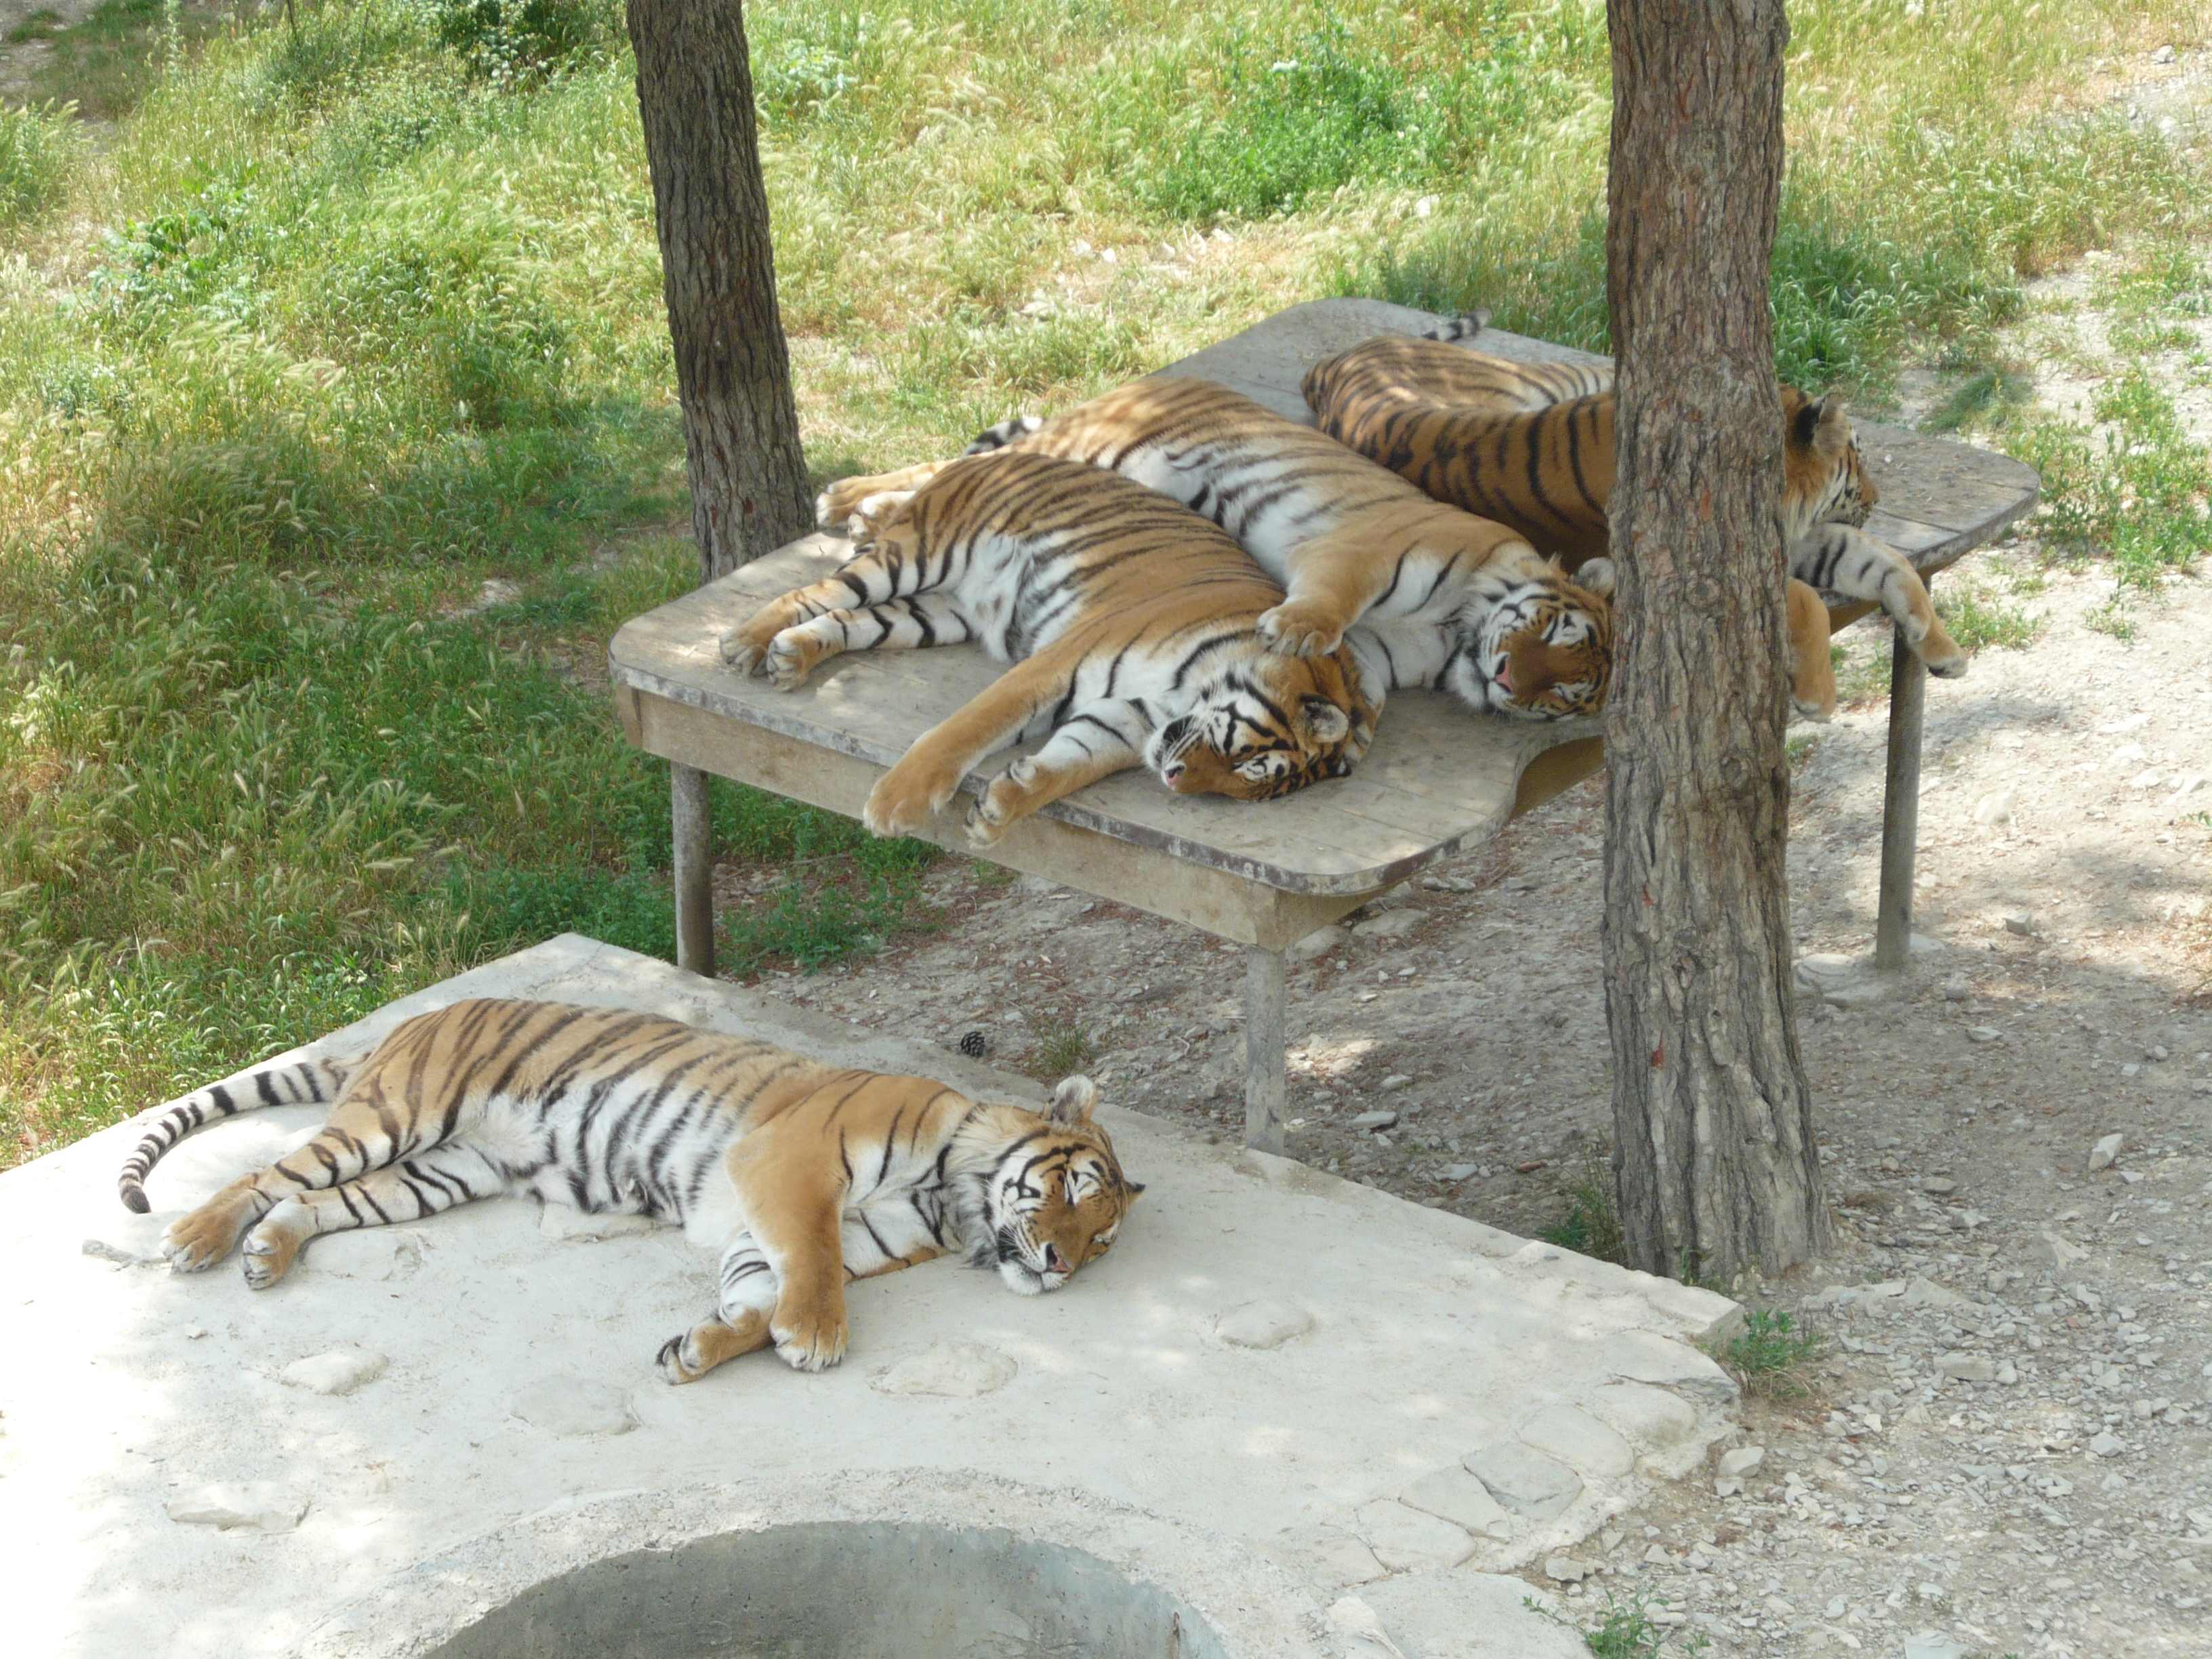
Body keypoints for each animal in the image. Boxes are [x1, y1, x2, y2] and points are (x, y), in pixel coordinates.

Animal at [121, 1000, 1141, 1380]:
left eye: (1103, 1238)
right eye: (1070, 1188)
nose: (1059, 1265)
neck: (953, 1198)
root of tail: (410, 1020)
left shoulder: (802, 1233)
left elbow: (756, 1294)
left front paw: (705, 1347)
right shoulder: (792, 1164)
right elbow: (810, 1266)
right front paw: (814, 1338)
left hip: (439, 1174)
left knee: (312, 1204)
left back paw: (267, 1253)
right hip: (395, 1119)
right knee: (260, 1173)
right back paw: (196, 1240)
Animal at [1292, 319, 1973, 721]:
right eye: (1857, 457)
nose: (1879, 497)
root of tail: (1341, 358)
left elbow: (1889, 564)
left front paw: (1942, 651)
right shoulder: (1697, 566)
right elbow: (1808, 599)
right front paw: (1816, 697)